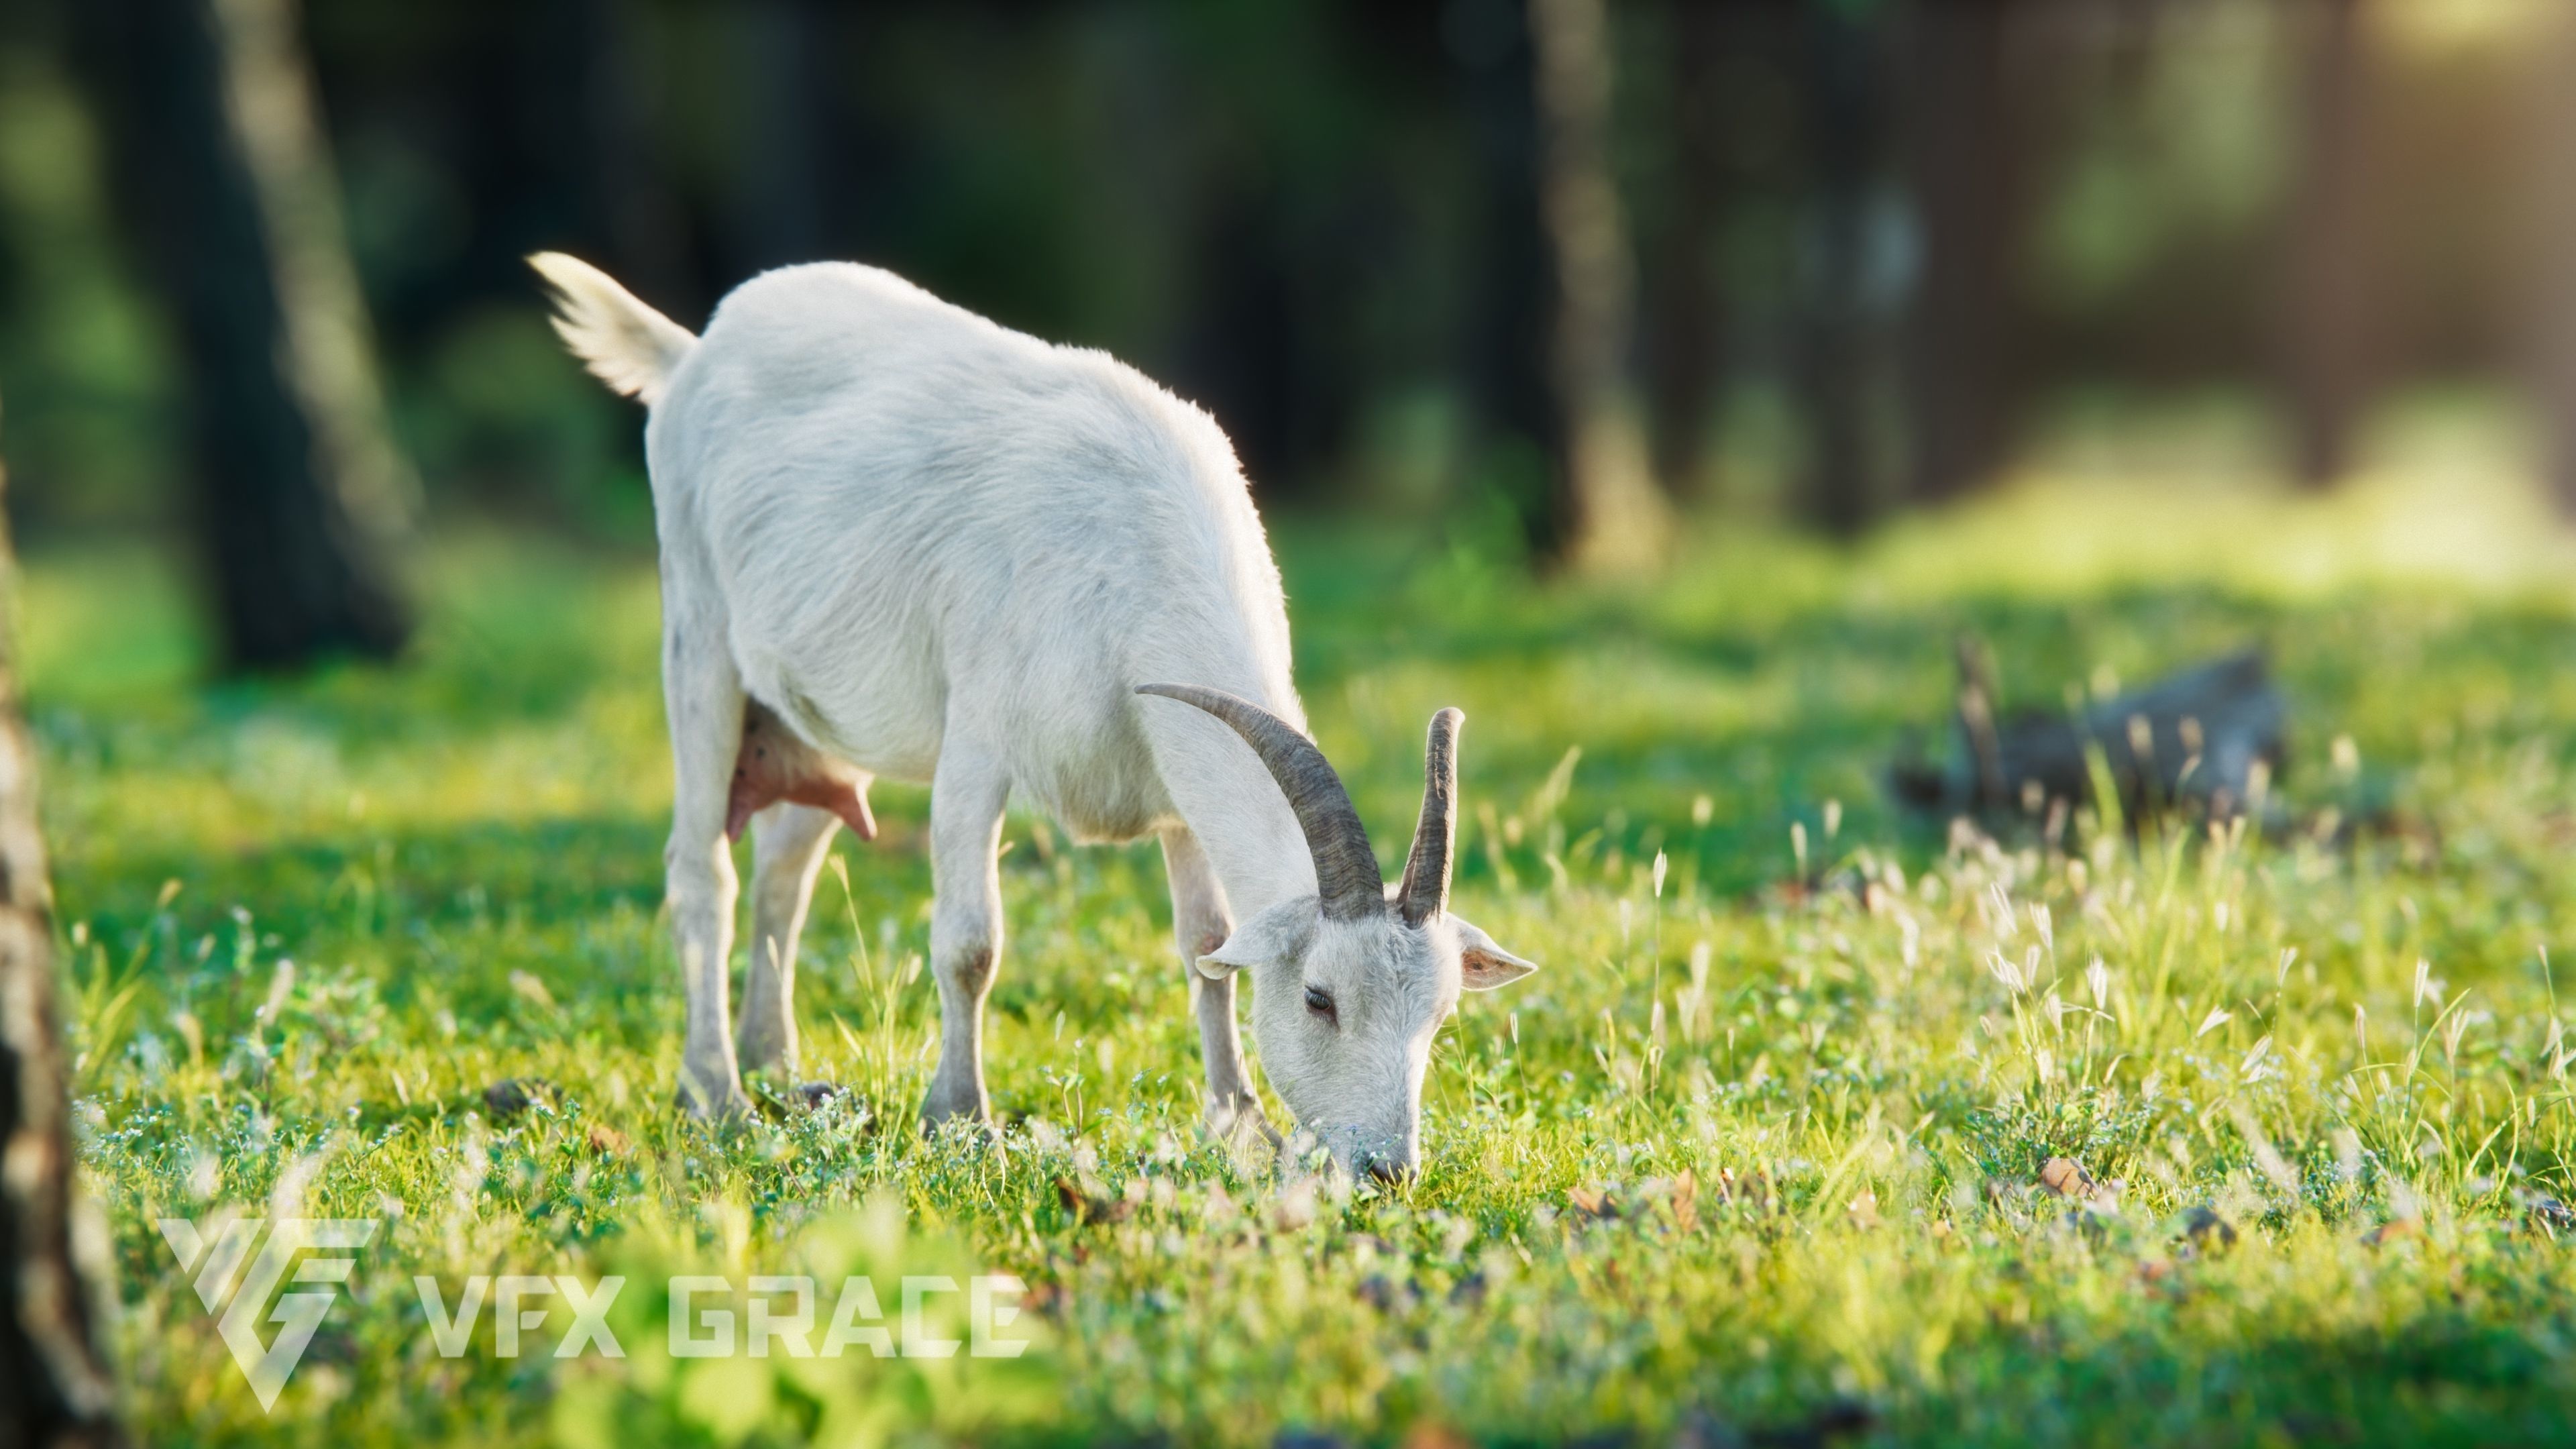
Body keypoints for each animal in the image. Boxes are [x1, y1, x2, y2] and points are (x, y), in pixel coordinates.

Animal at [529, 252, 1537, 1179]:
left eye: (1442, 1014)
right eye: (1320, 999)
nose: (1386, 1170)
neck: (1132, 559)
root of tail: (694, 351)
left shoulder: (1174, 789)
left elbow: (1205, 947)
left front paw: (1237, 1123)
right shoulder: (978, 741)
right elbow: (970, 943)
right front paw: (959, 1119)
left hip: (814, 715)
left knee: (787, 865)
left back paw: (779, 1072)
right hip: (698, 634)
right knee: (704, 872)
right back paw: (717, 1093)